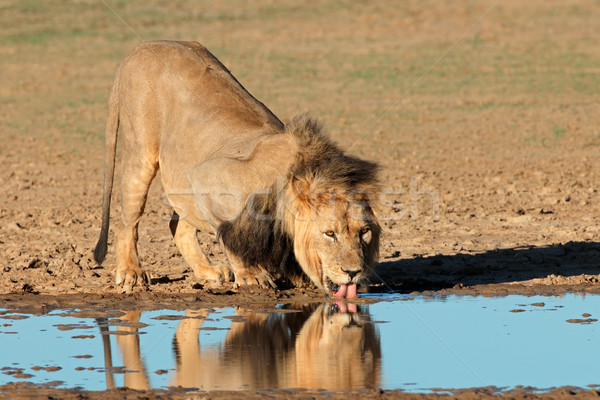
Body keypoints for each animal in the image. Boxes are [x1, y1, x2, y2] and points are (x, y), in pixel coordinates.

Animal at [94, 40, 380, 296]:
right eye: (330, 233)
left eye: (364, 232)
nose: (353, 272)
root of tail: (142, 46)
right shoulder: (206, 176)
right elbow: (231, 238)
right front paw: (252, 276)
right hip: (141, 153)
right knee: (128, 222)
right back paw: (131, 272)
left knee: (178, 225)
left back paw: (207, 271)